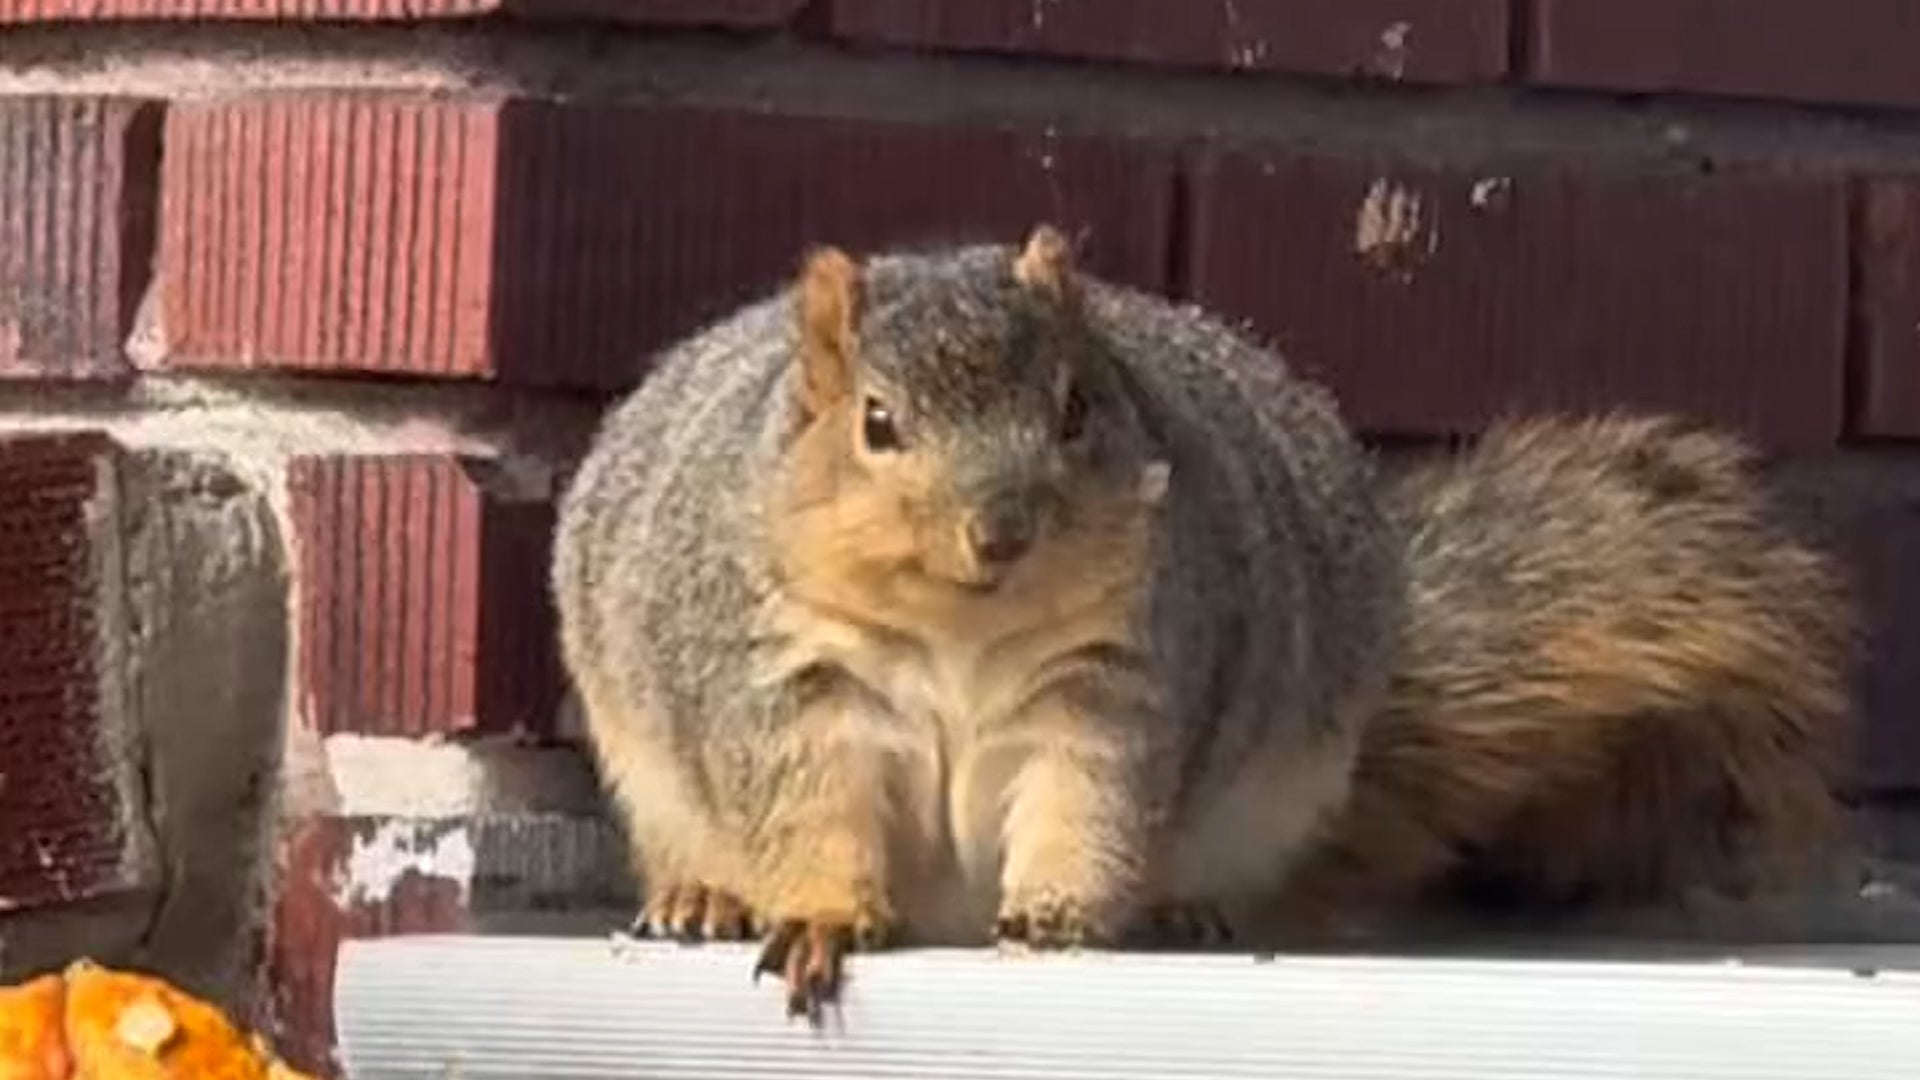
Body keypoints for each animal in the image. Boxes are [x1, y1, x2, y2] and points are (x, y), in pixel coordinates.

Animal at [551, 224, 1403, 1020]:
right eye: (877, 422)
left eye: (1076, 408)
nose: (1002, 532)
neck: (958, 626)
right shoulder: (791, 678)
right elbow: (806, 804)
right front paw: (825, 917)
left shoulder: (1109, 678)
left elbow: (1088, 795)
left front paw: (1054, 911)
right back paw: (700, 897)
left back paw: (1183, 908)